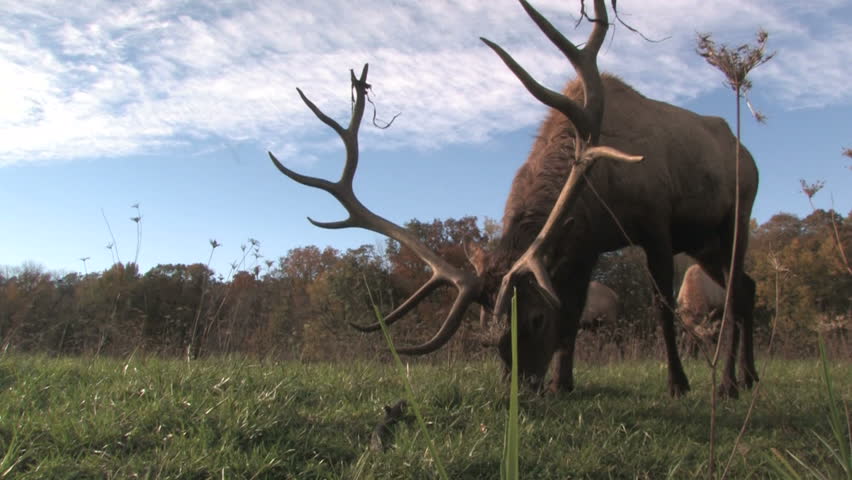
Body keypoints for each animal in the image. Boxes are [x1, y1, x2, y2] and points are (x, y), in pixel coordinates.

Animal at [270, 0, 759, 399]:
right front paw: (564, 382)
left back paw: (729, 384)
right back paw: (748, 377)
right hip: (703, 242)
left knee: (735, 290)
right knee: (748, 286)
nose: (521, 388)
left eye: (535, 320)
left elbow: (659, 305)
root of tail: (747, 153)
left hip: (736, 213)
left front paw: (678, 384)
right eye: (488, 330)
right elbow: (573, 307)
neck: (596, 187)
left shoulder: (656, 221)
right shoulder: (585, 243)